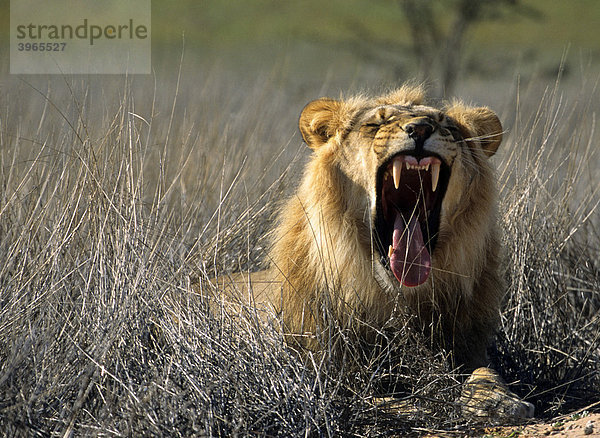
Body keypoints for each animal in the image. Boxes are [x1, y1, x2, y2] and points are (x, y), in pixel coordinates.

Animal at [210, 84, 536, 420]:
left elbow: (486, 371)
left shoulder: (468, 346)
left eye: (447, 126)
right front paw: (411, 405)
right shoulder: (318, 366)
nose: (420, 128)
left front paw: (497, 399)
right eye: (376, 123)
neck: (397, 297)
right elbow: (358, 393)